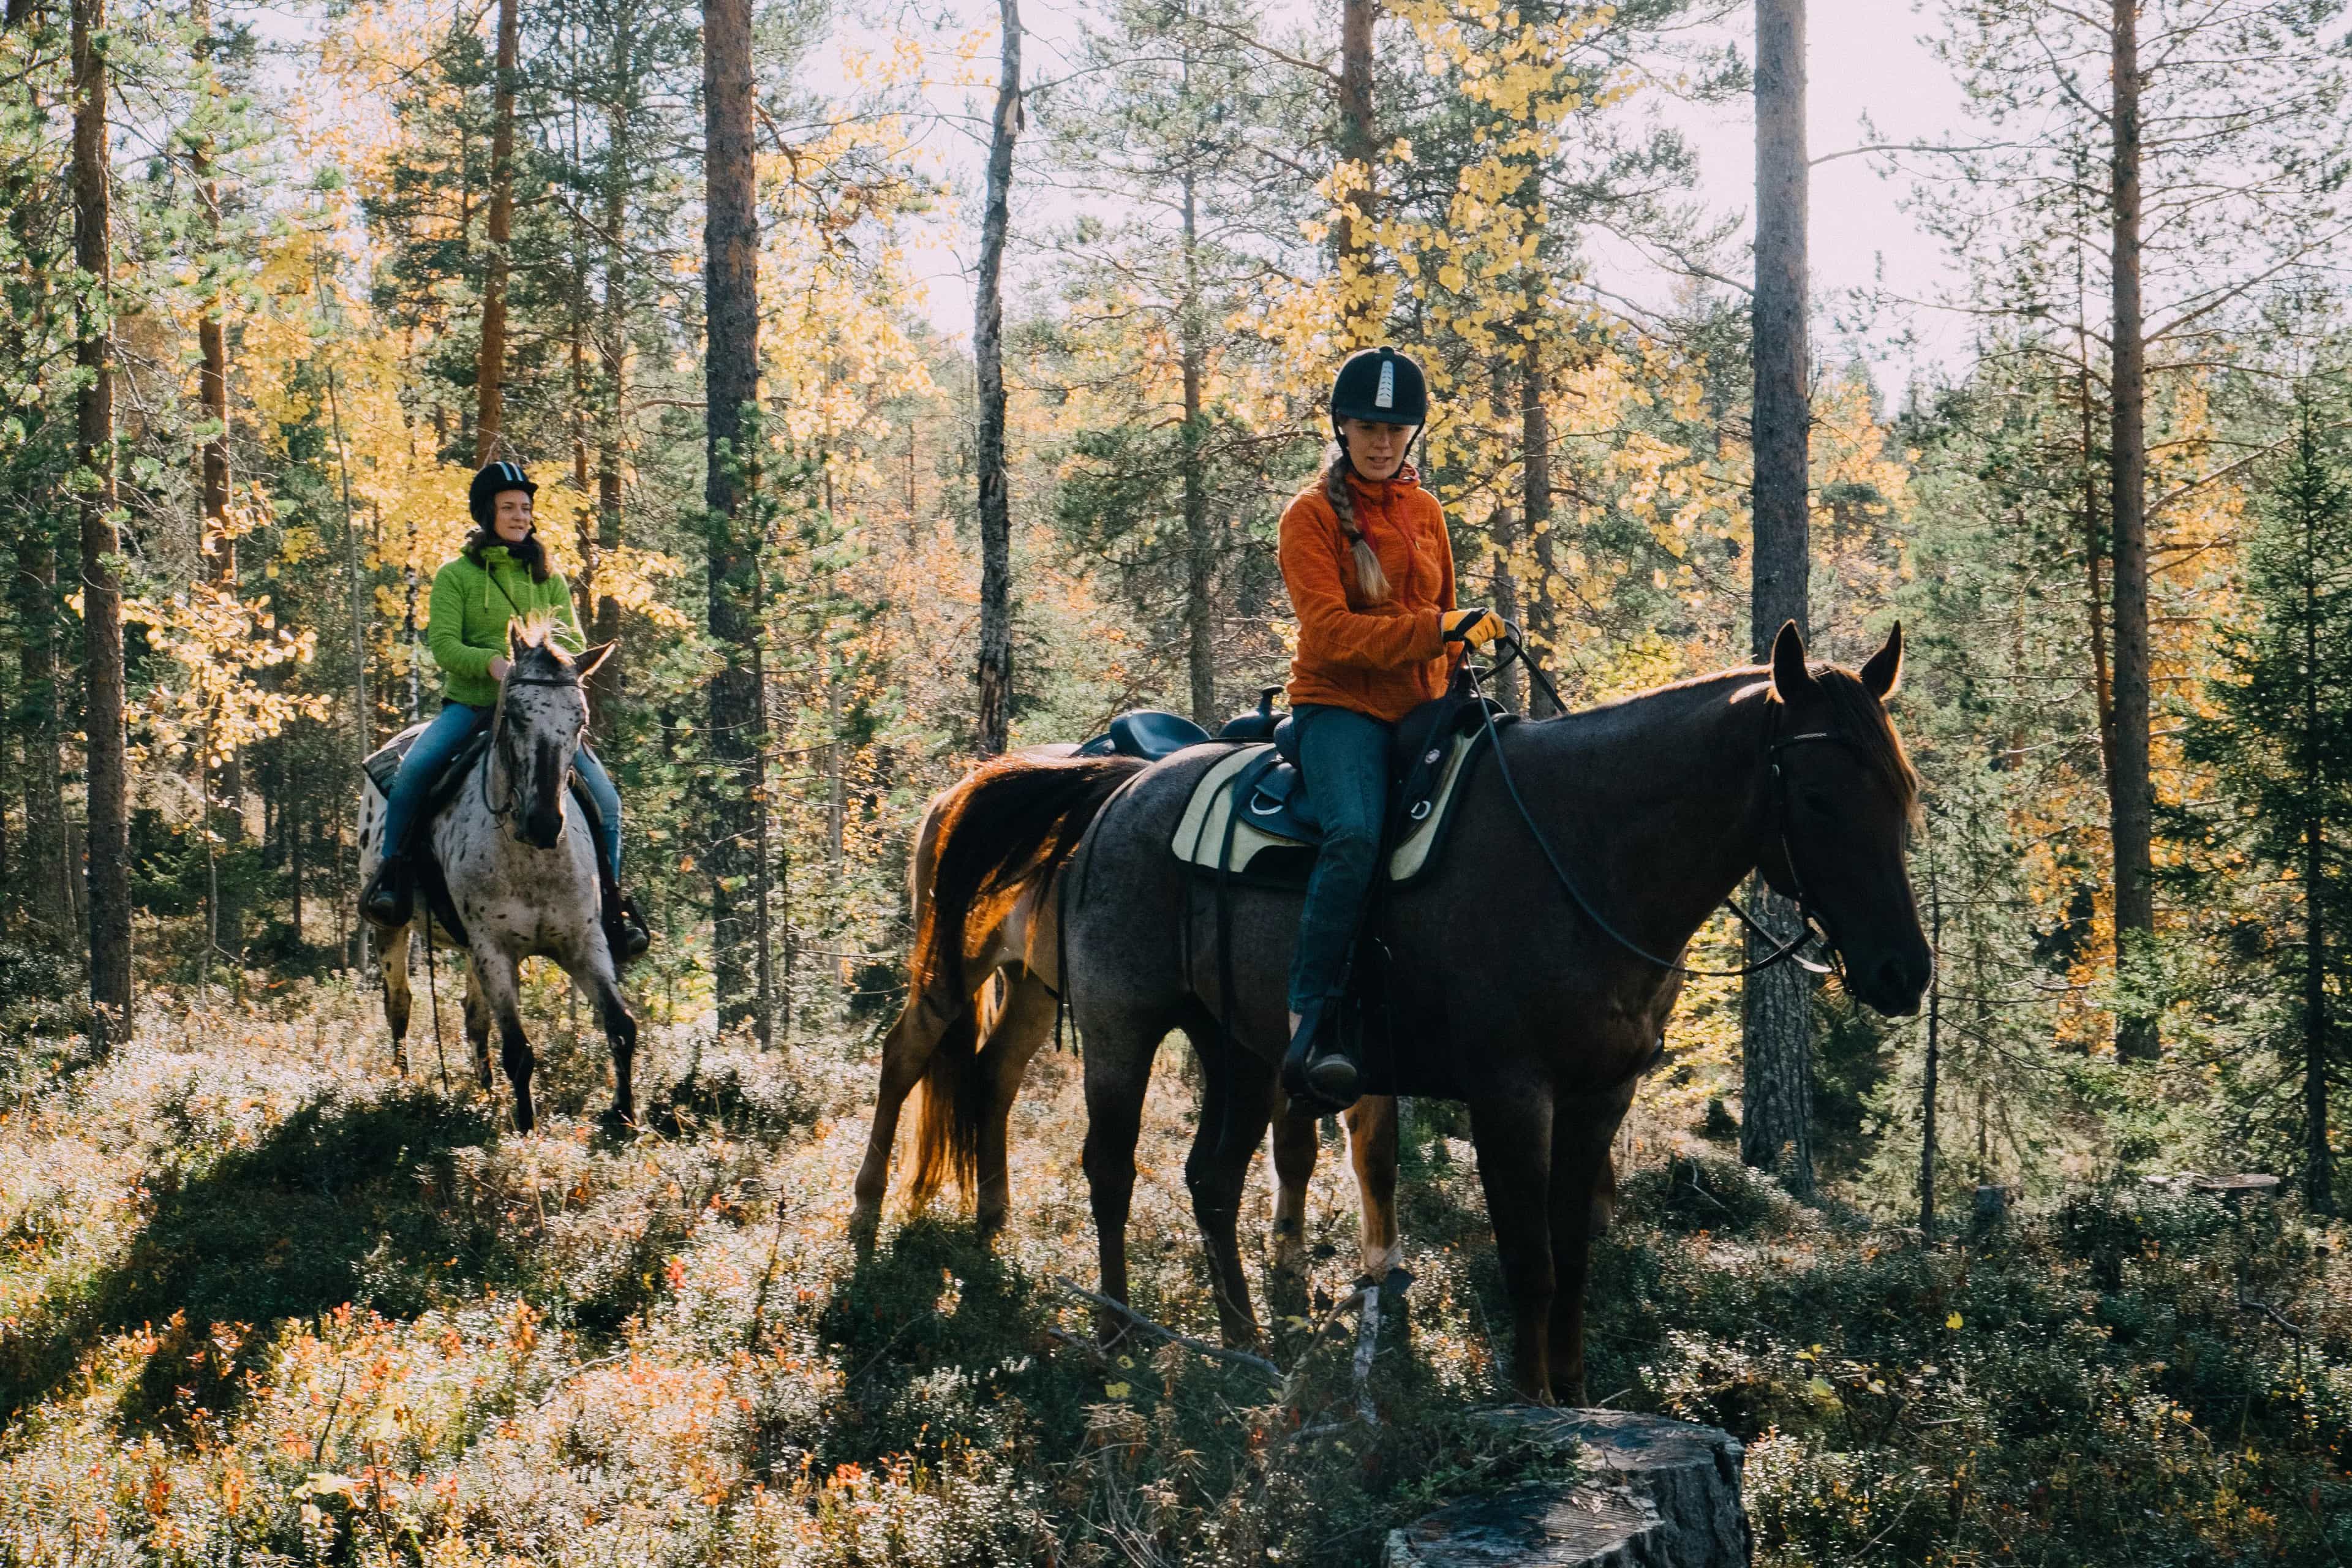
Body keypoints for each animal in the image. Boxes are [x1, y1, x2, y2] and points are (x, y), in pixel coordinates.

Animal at [357, 620, 635, 1133]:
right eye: (518, 717)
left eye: (580, 721)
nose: (544, 823)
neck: (533, 862)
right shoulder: (494, 950)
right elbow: (519, 1051)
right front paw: (525, 1129)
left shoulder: (584, 944)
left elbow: (621, 1026)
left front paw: (625, 1117)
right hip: (393, 929)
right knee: (400, 1005)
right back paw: (400, 1087)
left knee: (473, 1020)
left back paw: (484, 1097)